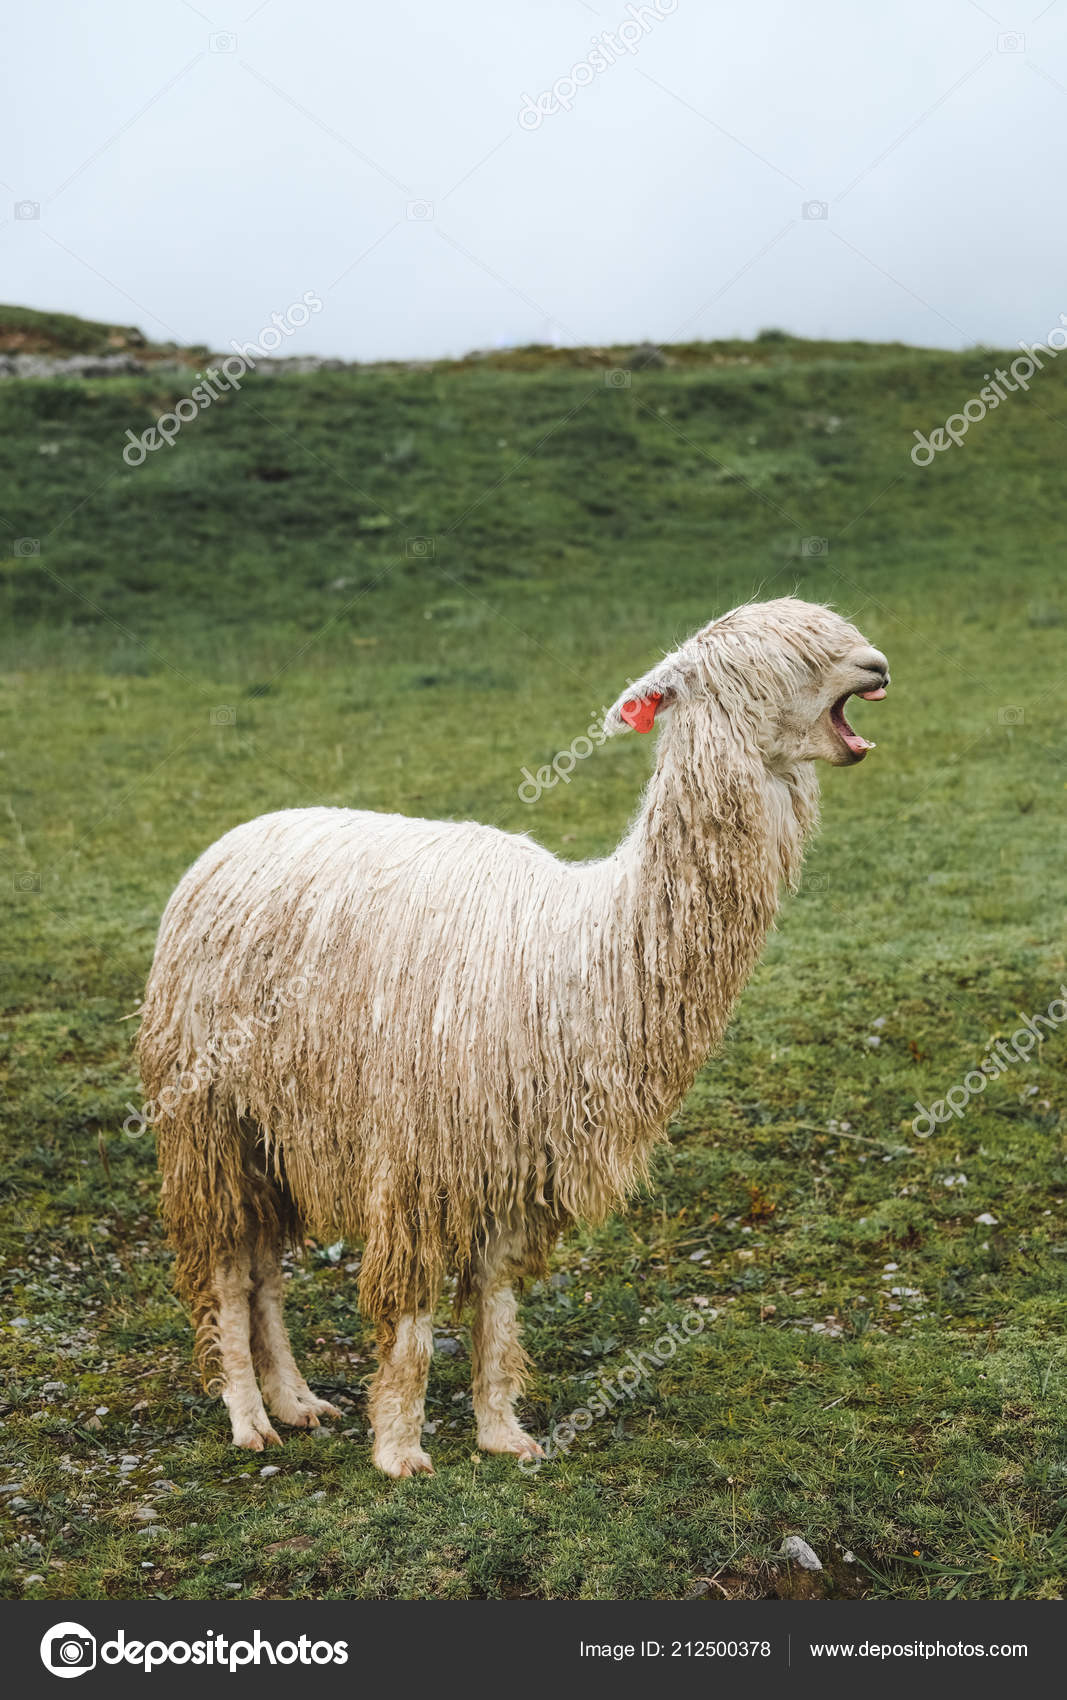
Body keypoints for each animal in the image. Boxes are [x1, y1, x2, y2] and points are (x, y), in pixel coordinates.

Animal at [137, 596, 889, 1476]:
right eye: (777, 661)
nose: (875, 665)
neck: (575, 956)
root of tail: (228, 843)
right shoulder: (421, 1147)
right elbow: (411, 1315)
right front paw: (399, 1450)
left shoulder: (516, 1149)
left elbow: (495, 1300)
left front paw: (503, 1434)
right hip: (206, 1109)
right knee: (227, 1267)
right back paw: (249, 1418)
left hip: (270, 1125)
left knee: (262, 1267)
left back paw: (297, 1402)